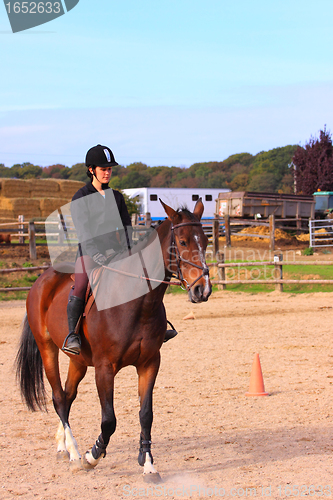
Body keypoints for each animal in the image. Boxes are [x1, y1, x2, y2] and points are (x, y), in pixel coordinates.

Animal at [14, 198, 210, 480]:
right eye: (182, 242)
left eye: (205, 241)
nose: (202, 290)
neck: (136, 302)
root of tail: (41, 281)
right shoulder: (105, 368)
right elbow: (109, 420)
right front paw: (92, 455)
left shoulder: (150, 363)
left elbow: (146, 414)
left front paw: (148, 464)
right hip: (47, 348)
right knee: (59, 398)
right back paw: (74, 453)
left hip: (79, 361)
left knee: (68, 395)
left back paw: (63, 446)